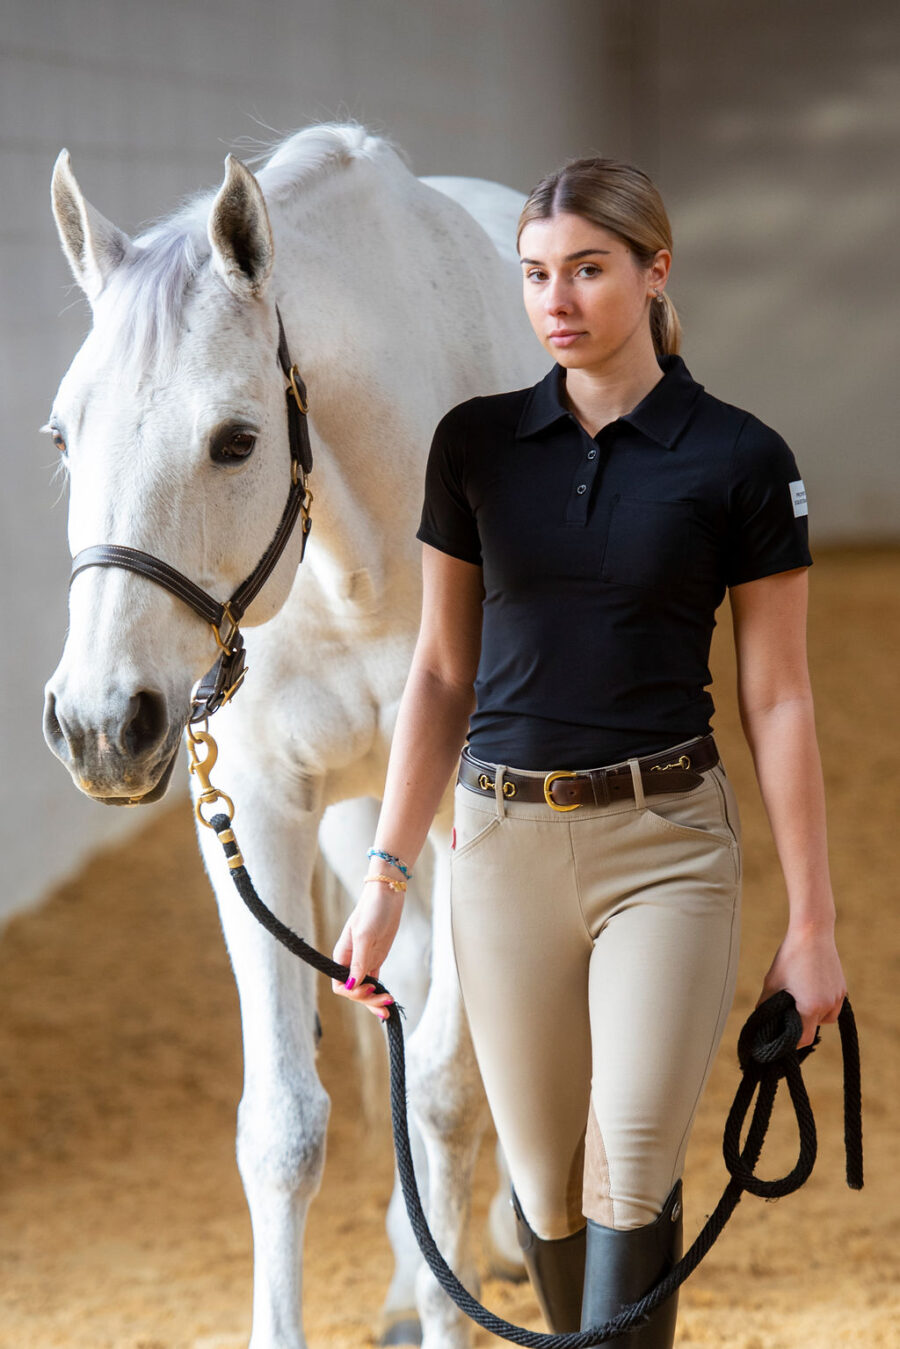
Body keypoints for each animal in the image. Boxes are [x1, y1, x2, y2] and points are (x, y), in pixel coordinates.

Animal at [42, 122, 546, 1349]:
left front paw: (458, 1305)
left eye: (235, 440)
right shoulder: (260, 806)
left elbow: (450, 1093)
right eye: (62, 435)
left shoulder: (473, 803)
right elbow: (283, 1126)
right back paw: (414, 1277)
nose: (99, 724)